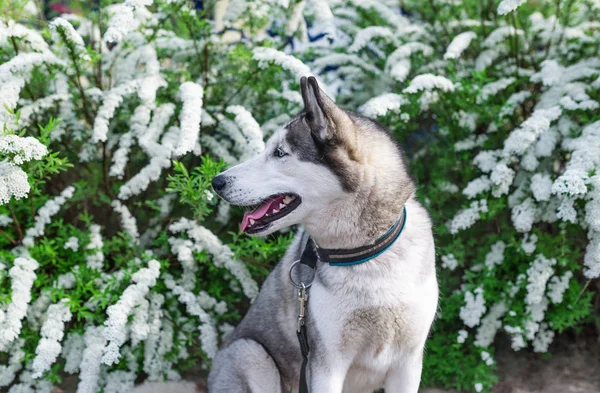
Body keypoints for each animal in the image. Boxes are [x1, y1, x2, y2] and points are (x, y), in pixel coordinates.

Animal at [209, 77, 438, 392]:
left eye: (279, 153)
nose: (216, 182)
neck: (363, 254)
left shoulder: (408, 364)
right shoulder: (326, 364)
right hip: (251, 353)